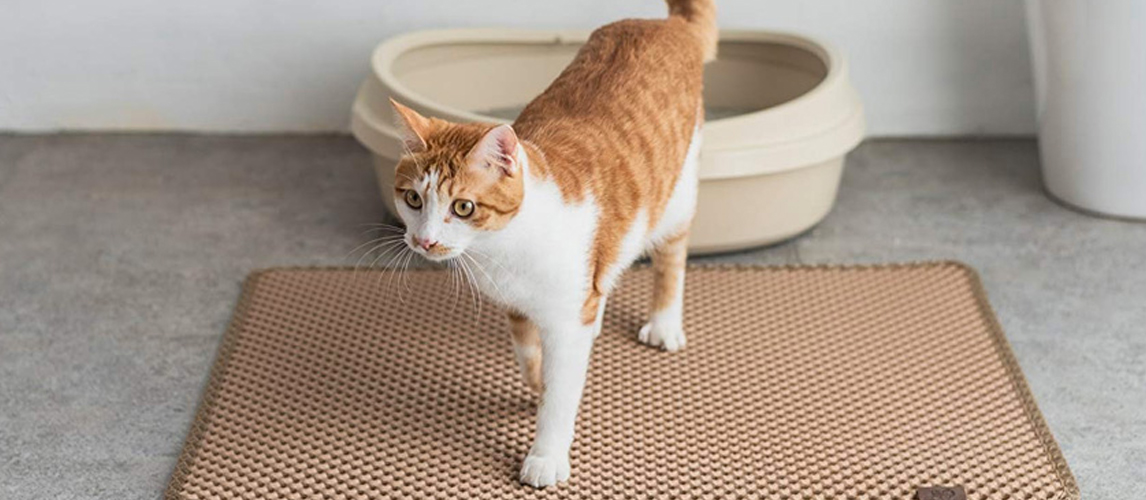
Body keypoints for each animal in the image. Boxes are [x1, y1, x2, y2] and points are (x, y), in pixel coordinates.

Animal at [389, 0, 719, 486]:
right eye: (413, 199)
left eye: (463, 207)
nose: (423, 240)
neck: (504, 249)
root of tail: (664, 25)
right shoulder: (517, 308)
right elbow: (531, 358)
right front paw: (536, 386)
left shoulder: (566, 322)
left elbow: (561, 394)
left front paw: (546, 452)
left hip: (675, 197)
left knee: (670, 258)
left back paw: (663, 323)